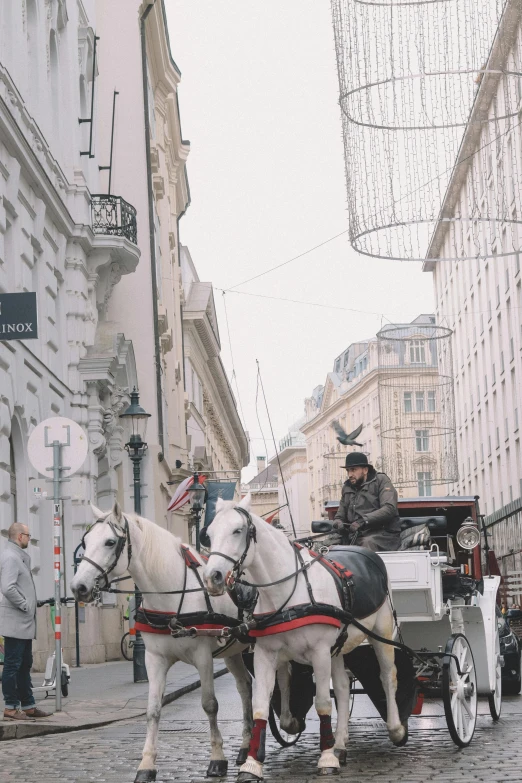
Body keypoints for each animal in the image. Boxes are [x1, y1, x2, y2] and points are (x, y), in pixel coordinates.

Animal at [71, 506, 254, 780]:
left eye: (110, 542)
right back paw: (245, 746)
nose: (78, 587)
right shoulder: (154, 659)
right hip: (233, 651)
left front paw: (217, 758)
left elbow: (209, 704)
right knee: (245, 688)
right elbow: (153, 710)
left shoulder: (203, 657)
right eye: (85, 542)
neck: (173, 594)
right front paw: (146, 764)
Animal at [202, 496, 402, 783]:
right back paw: (340, 744)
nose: (212, 577)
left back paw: (395, 729)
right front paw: (251, 765)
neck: (288, 592)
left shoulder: (319, 652)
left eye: (237, 531)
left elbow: (322, 703)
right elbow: (261, 705)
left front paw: (326, 758)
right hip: (338, 647)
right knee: (343, 687)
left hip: (382, 632)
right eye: (208, 534)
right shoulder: (266, 653)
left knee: (387, 676)